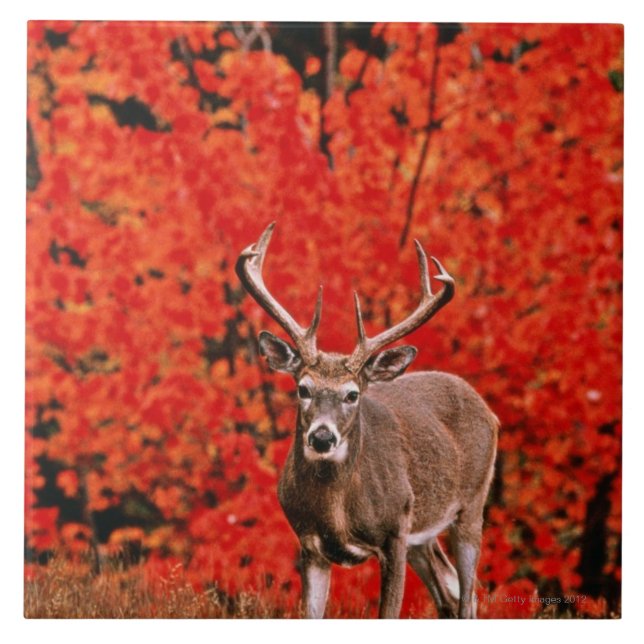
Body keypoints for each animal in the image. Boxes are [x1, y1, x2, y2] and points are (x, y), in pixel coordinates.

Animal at [235, 222, 498, 619]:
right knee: (448, 594)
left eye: (352, 394)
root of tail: (487, 409)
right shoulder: (309, 544)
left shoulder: (393, 534)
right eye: (303, 388)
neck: (337, 513)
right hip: (421, 535)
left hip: (470, 505)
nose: (322, 437)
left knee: (468, 597)